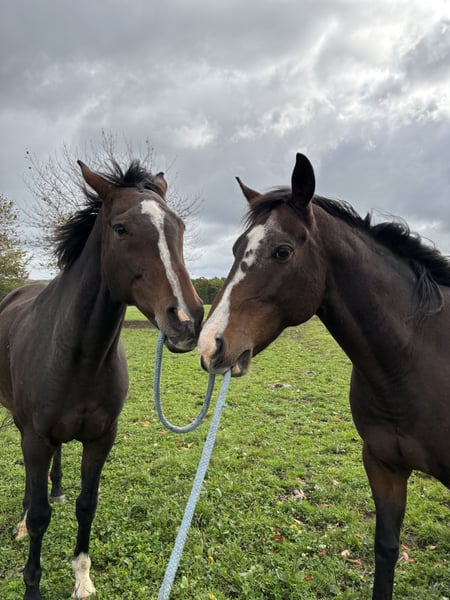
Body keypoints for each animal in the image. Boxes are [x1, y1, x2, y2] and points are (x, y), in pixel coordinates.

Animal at [0, 159, 203, 600]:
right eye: (121, 228)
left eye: (178, 227)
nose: (187, 320)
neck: (80, 356)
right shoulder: (36, 437)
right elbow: (39, 515)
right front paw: (32, 584)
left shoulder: (101, 438)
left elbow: (86, 504)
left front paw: (82, 576)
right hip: (22, 425)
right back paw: (22, 520)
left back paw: (57, 489)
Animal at [198, 153, 450, 599]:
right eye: (236, 248)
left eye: (282, 251)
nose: (210, 344)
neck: (415, 359)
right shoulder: (383, 465)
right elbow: (386, 550)